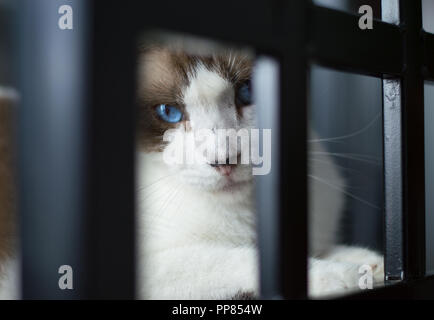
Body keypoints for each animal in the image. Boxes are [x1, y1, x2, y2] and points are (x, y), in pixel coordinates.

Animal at [135, 41, 384, 298]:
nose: (224, 160)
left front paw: (367, 263)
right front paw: (342, 275)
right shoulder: (156, 267)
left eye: (247, 91)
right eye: (168, 112)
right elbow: (237, 259)